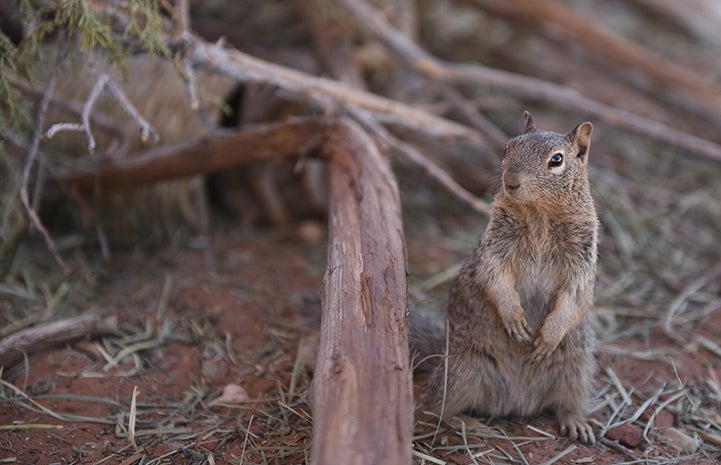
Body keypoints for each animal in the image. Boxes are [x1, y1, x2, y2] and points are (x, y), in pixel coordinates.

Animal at [408, 111, 600, 442]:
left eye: (557, 160)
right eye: (509, 147)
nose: (510, 182)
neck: (540, 214)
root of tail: (517, 404)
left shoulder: (582, 259)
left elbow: (575, 294)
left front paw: (548, 335)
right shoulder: (495, 248)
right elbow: (495, 276)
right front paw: (515, 319)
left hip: (575, 371)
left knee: (566, 404)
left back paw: (576, 422)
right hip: (465, 371)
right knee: (436, 409)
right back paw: (471, 425)